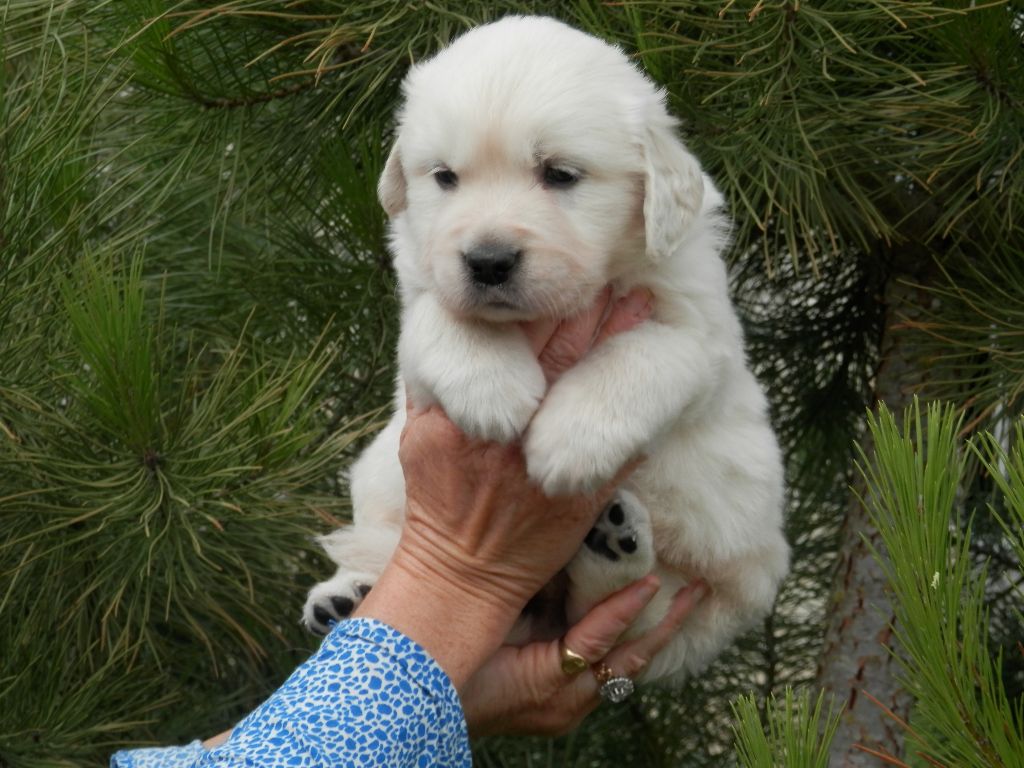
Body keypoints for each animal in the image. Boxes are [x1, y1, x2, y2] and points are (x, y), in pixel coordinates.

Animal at [299, 15, 786, 684]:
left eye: (560, 174)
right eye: (444, 177)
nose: (487, 262)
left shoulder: (698, 329)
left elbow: (639, 358)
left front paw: (568, 443)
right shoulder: (421, 288)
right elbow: (442, 317)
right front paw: (493, 390)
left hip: (714, 572)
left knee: (631, 612)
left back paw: (614, 546)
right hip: (379, 473)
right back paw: (346, 594)